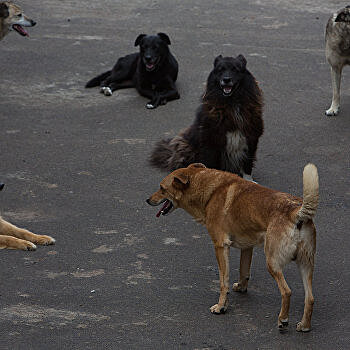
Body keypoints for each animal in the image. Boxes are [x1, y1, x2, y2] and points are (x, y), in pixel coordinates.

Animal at [146, 163, 318, 332]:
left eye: (162, 188)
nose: (147, 200)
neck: (210, 189)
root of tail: (295, 212)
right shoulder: (247, 247)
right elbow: (244, 271)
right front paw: (241, 287)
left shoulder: (220, 246)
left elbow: (224, 281)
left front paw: (221, 306)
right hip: (306, 265)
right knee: (310, 298)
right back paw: (305, 326)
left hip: (273, 263)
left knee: (287, 292)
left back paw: (283, 320)